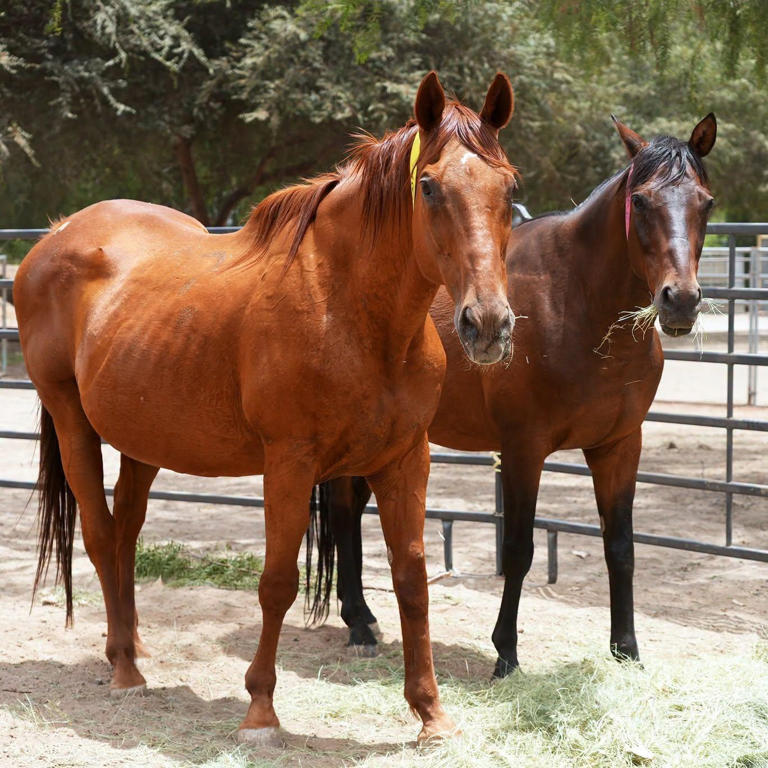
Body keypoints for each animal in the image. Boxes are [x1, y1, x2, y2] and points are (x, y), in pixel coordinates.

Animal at [14, 71, 519, 743]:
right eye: (430, 186)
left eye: (509, 187)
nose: (486, 325)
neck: (351, 311)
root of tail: (54, 235)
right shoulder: (289, 463)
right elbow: (277, 582)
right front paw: (260, 709)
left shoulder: (405, 460)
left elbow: (412, 582)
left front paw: (431, 714)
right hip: (73, 421)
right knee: (99, 535)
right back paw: (124, 668)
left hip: (142, 439)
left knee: (125, 536)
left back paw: (133, 645)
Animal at [310, 113, 717, 676]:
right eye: (640, 201)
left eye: (707, 202)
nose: (680, 301)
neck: (576, 302)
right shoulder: (525, 448)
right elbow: (519, 549)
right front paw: (505, 651)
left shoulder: (619, 447)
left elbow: (621, 546)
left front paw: (626, 648)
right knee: (346, 511)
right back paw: (358, 626)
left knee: (349, 514)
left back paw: (365, 618)